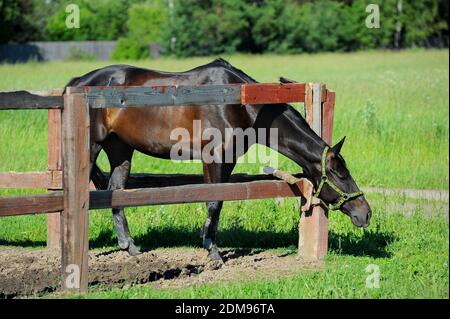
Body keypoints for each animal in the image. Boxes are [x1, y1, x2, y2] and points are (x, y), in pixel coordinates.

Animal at [64, 58, 372, 262]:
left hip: (120, 150)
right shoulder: (213, 158)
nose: (365, 213)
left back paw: (130, 246)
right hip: (92, 148)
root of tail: (77, 83)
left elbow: (220, 200)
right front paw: (212, 250)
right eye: (340, 174)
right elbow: (213, 200)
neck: (242, 104)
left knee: (116, 193)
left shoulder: (228, 160)